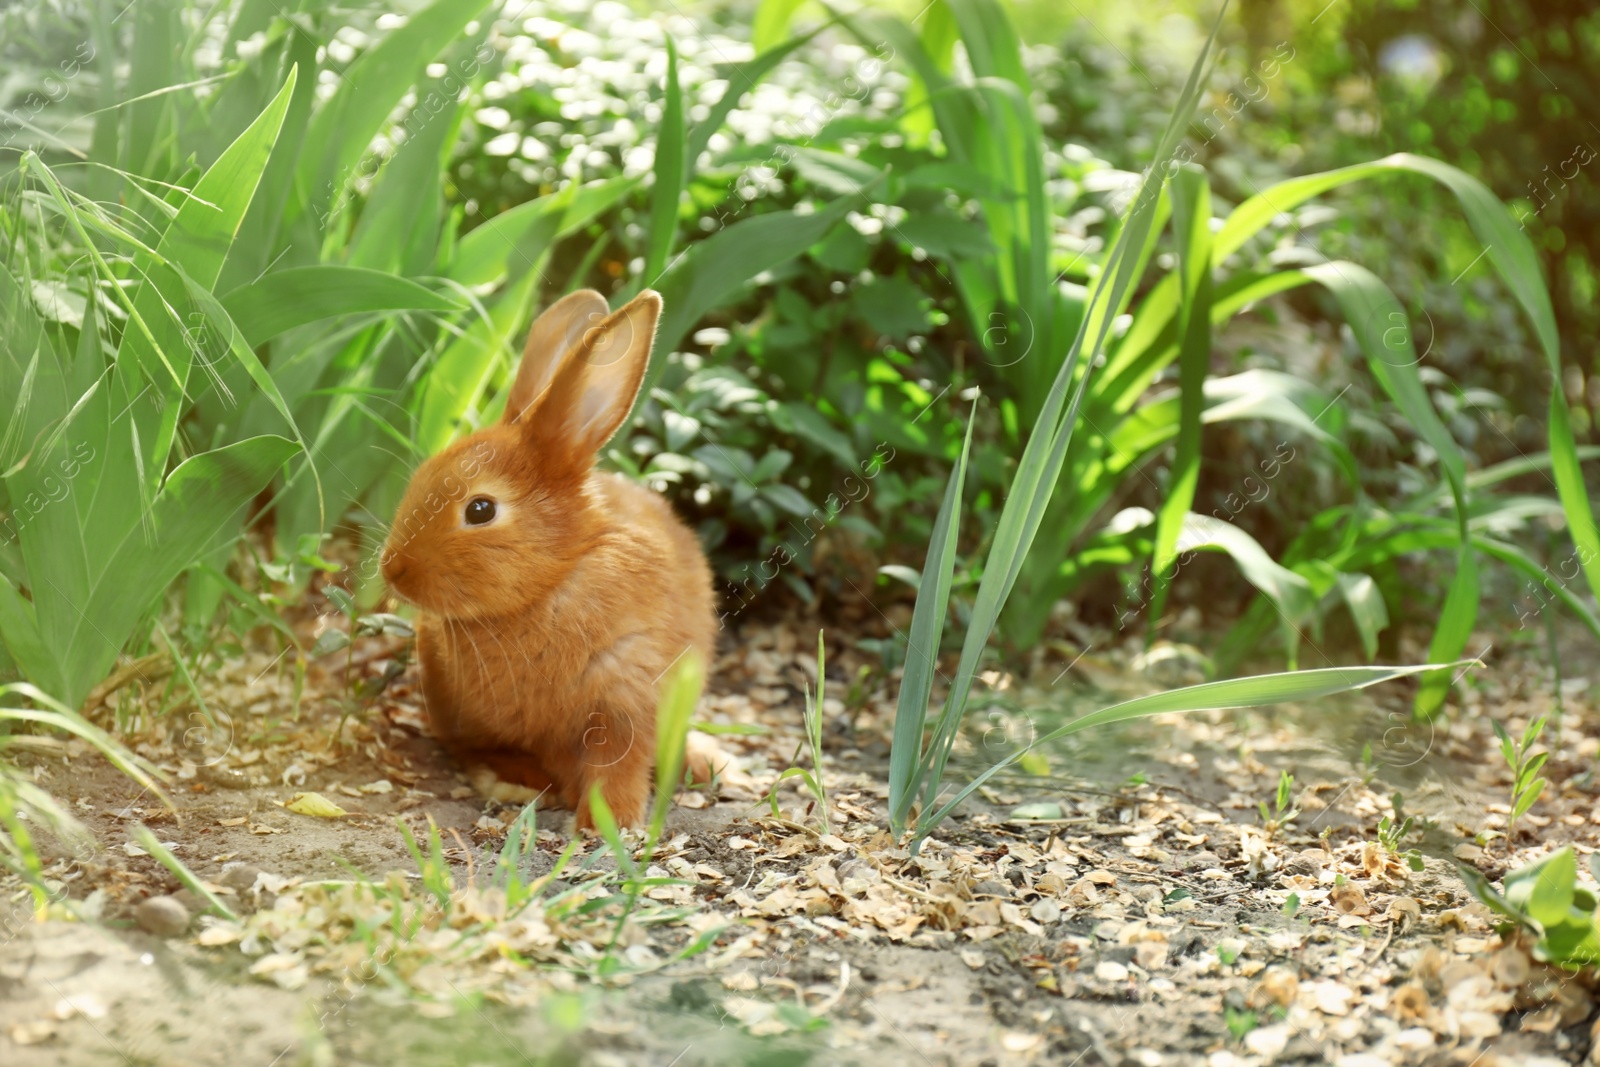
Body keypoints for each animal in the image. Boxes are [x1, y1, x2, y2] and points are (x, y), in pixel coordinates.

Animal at [377, 292, 716, 831]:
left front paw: (607, 821)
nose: (393, 569)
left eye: (480, 509)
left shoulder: (624, 693)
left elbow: (618, 763)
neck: (553, 582)